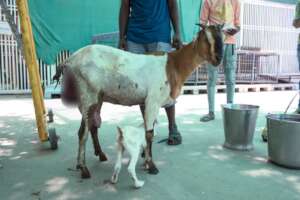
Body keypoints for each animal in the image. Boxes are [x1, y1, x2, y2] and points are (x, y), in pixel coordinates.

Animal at [53, 24, 223, 178]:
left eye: (221, 37)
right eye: (205, 38)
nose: (218, 59)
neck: (173, 65)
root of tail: (70, 60)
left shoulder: (145, 102)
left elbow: (147, 130)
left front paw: (145, 159)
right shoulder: (153, 100)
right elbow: (149, 134)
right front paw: (152, 165)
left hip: (96, 97)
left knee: (92, 126)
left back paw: (98, 156)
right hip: (88, 95)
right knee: (83, 133)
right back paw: (84, 169)